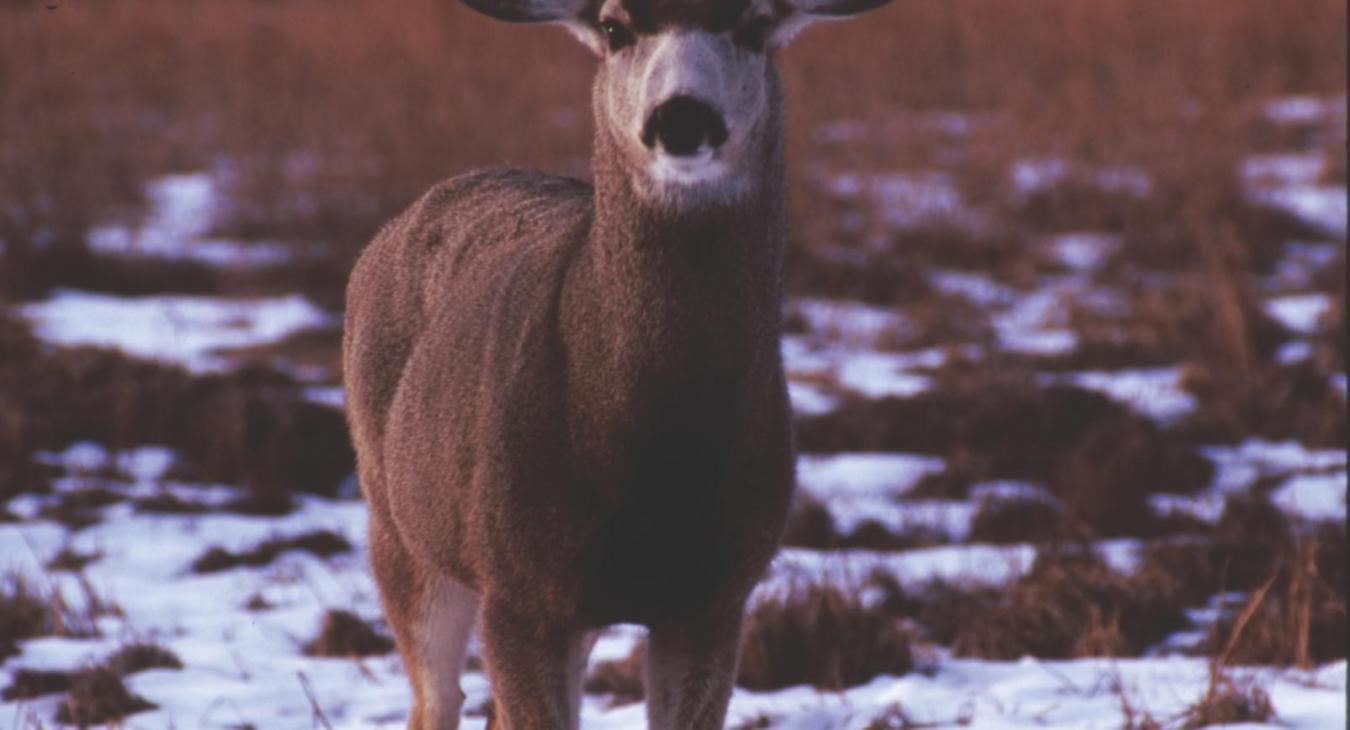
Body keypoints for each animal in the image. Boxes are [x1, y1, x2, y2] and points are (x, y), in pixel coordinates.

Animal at [345, 2, 896, 723]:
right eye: (614, 26)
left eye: (754, 23)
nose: (682, 117)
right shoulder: (518, 586)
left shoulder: (717, 597)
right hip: (398, 527)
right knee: (434, 700)